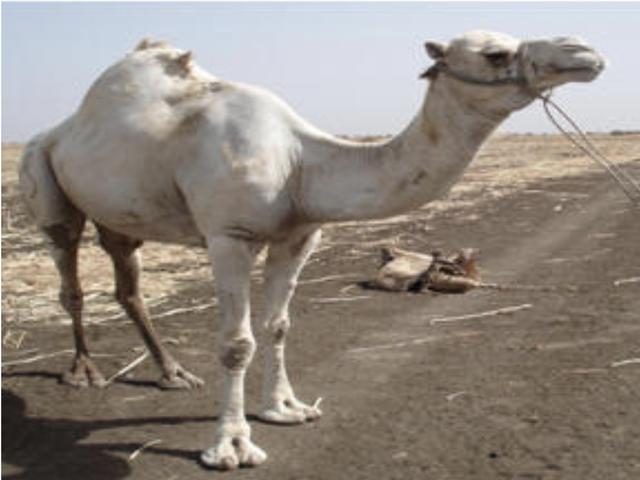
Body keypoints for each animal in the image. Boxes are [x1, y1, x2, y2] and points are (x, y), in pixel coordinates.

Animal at [19, 31, 604, 469]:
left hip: (121, 214)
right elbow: (237, 342)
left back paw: (173, 373)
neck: (301, 159)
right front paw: (232, 445)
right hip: (44, 179)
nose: (584, 52)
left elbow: (278, 326)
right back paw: (83, 372)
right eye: (495, 54)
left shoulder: (300, 235)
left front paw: (284, 408)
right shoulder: (229, 235)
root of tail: (57, 129)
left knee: (127, 281)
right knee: (70, 276)